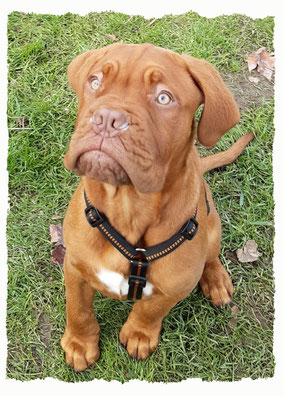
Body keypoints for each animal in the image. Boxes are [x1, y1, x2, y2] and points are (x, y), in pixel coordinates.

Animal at [60, 43, 253, 372]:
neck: (129, 207)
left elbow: (151, 310)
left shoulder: (176, 285)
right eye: (95, 82)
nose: (107, 118)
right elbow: (78, 309)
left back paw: (216, 280)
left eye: (164, 97)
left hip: (213, 228)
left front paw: (139, 334)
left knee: (212, 256)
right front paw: (79, 343)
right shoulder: (74, 267)